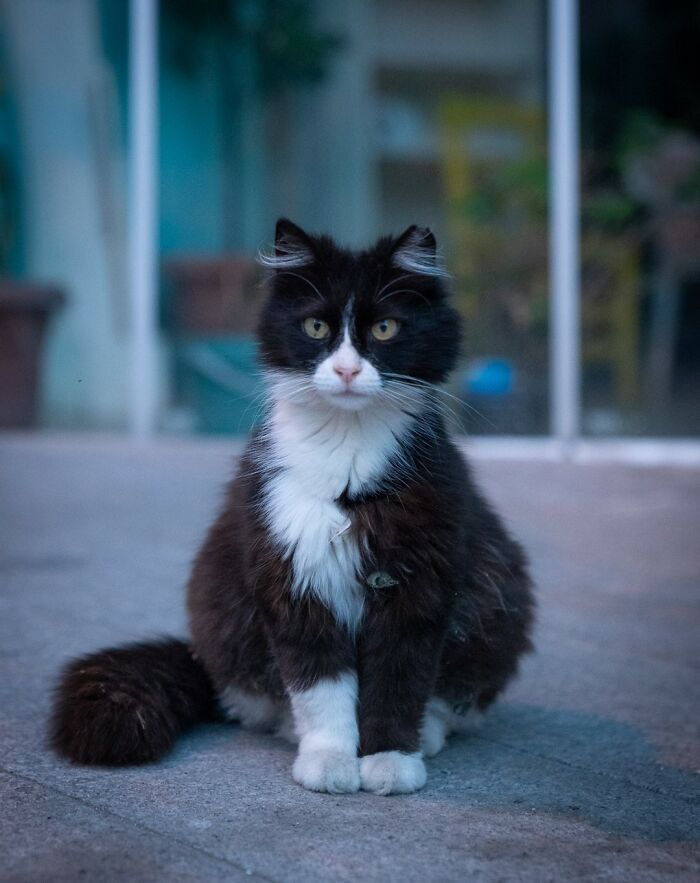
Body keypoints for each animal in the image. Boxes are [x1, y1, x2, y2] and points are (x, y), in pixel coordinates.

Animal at [49, 219, 532, 796]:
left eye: (386, 328)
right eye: (317, 327)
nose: (346, 371)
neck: (347, 458)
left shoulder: (420, 581)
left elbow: (399, 681)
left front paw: (391, 760)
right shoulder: (293, 574)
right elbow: (320, 686)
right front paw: (329, 761)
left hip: (495, 594)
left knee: (451, 696)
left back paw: (428, 735)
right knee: (258, 699)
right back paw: (292, 732)